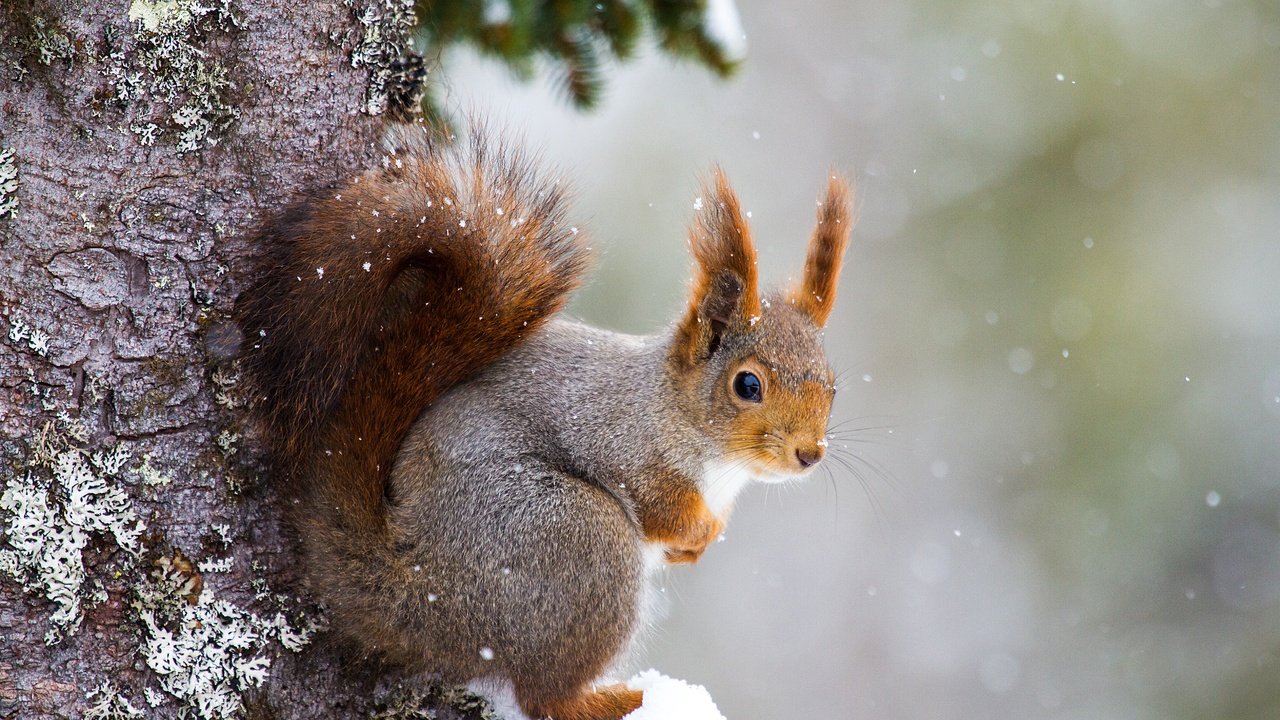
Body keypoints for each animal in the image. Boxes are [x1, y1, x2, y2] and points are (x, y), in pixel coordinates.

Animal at [240, 120, 855, 712]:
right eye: (747, 384)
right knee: (545, 697)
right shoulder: (623, 441)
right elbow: (660, 505)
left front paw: (701, 543)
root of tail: (423, 588)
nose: (809, 454)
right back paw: (622, 700)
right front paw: (696, 531)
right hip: (579, 539)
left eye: (833, 385)